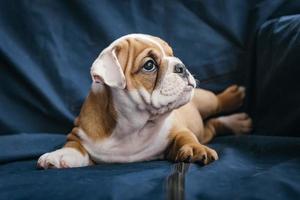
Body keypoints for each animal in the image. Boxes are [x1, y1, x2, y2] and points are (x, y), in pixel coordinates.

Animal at [38, 34, 253, 169]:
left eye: (171, 54)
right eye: (149, 65)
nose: (181, 66)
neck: (133, 127)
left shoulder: (176, 130)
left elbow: (186, 137)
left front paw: (195, 148)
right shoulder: (81, 134)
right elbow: (74, 146)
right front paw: (59, 156)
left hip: (204, 98)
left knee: (216, 103)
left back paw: (234, 99)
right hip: (204, 126)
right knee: (211, 126)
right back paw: (238, 123)